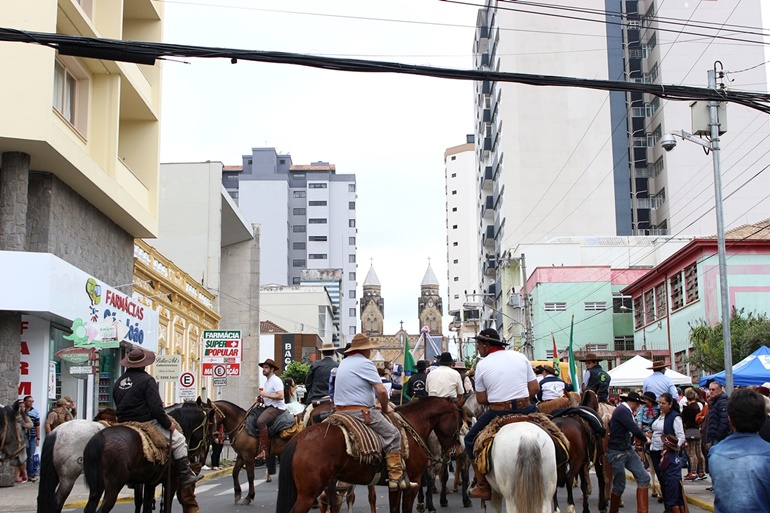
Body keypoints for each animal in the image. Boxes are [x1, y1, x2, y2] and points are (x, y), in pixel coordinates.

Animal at [274, 396, 462, 512]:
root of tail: (297, 440)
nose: (457, 450)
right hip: (307, 494)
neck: (412, 424)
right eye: (459, 420)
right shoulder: (414, 483)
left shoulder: (396, 486)